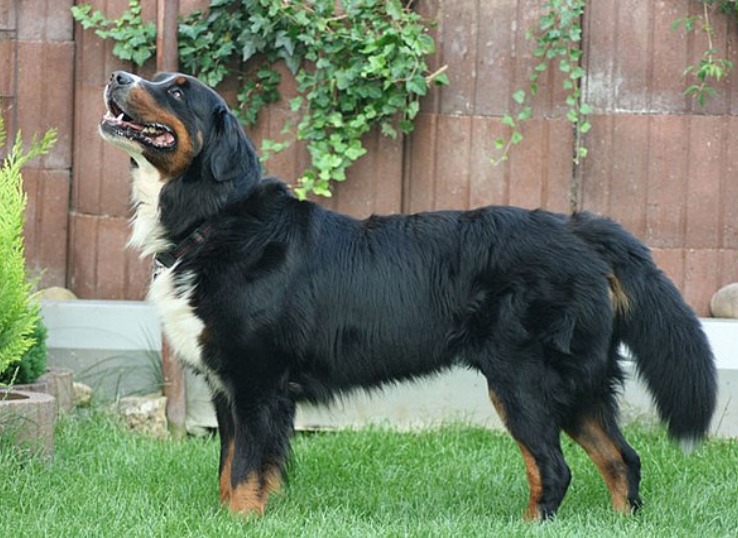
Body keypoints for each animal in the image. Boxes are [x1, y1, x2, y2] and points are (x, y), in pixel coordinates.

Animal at [98, 69, 712, 516]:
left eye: (178, 90)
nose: (118, 75)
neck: (216, 220)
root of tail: (580, 228)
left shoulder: (257, 384)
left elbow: (247, 474)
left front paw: (241, 522)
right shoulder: (229, 388)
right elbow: (230, 472)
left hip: (524, 380)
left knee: (554, 470)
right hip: (578, 383)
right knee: (622, 460)